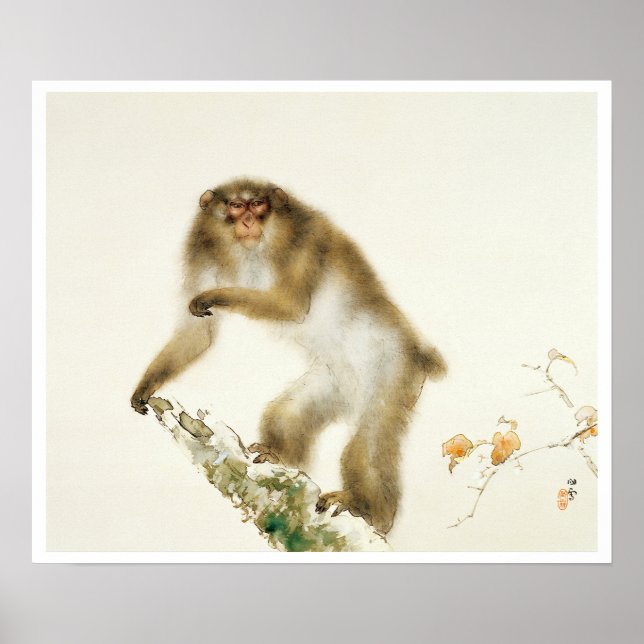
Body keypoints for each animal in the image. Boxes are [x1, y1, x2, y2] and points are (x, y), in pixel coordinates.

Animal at [131, 177, 446, 534]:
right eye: (236, 206)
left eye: (258, 205)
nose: (248, 221)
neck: (251, 249)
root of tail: (418, 351)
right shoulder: (202, 249)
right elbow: (196, 335)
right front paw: (146, 385)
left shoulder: (304, 238)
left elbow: (290, 305)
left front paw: (214, 295)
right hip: (335, 379)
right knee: (289, 413)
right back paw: (280, 456)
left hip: (392, 369)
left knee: (370, 443)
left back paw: (371, 512)